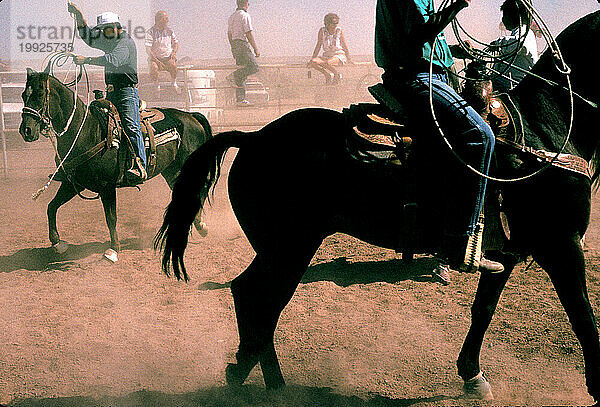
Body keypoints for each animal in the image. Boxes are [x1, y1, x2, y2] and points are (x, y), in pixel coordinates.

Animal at [19, 68, 212, 262]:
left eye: (40, 94)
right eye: (23, 95)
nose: (25, 131)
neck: (86, 132)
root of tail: (191, 116)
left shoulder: (107, 187)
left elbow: (111, 218)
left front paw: (113, 250)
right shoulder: (74, 184)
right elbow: (51, 207)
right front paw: (58, 243)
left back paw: (202, 226)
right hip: (172, 171)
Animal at [157, 11, 600, 404]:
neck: (545, 129)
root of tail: (252, 138)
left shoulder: (505, 250)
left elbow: (484, 310)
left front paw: (473, 376)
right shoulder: (562, 246)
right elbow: (582, 315)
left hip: (278, 249)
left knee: (251, 297)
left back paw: (250, 372)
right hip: (289, 249)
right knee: (259, 299)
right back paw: (267, 380)